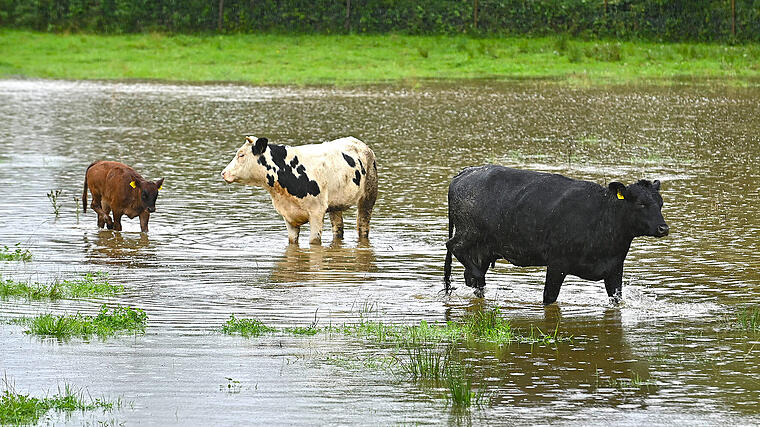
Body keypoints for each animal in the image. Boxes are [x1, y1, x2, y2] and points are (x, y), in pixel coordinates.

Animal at [220, 135, 378, 246]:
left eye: (241, 155)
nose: (223, 173)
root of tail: (361, 144)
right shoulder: (287, 216)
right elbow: (292, 241)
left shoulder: (316, 213)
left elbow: (314, 242)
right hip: (335, 205)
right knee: (338, 228)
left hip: (369, 196)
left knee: (363, 226)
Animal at [442, 166, 668, 304]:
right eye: (641, 204)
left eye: (661, 203)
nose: (663, 228)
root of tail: (465, 173)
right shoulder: (557, 263)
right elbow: (549, 297)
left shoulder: (614, 268)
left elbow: (616, 299)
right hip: (469, 233)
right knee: (453, 247)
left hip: (484, 248)